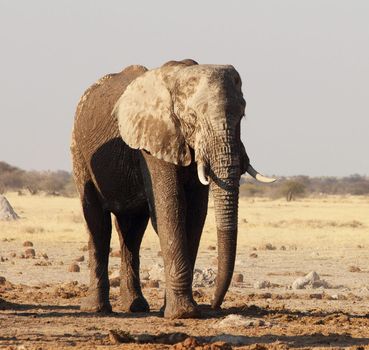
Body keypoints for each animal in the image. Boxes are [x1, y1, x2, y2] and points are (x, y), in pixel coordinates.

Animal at [70, 58, 274, 318]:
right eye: (193, 116)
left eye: (242, 115)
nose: (214, 305)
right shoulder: (152, 142)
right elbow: (171, 208)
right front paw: (183, 313)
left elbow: (195, 214)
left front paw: (174, 309)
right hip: (80, 150)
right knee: (97, 223)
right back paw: (98, 309)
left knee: (132, 230)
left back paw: (135, 307)